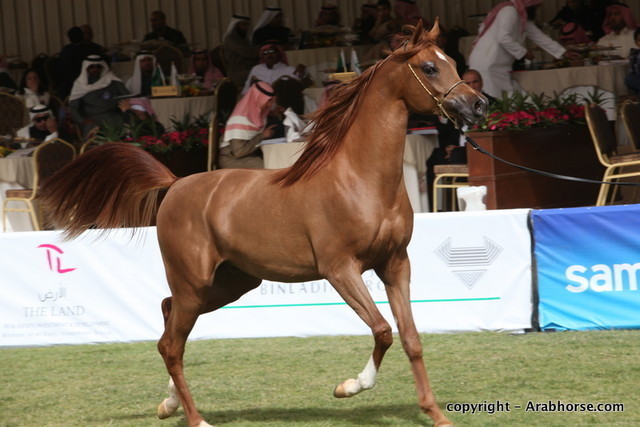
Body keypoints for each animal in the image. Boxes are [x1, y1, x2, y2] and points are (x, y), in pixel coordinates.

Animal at [41, 20, 487, 427]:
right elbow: (382, 330)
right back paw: (196, 418)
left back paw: (168, 404)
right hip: (195, 283)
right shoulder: (340, 269)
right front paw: (347, 387)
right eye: (429, 67)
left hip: (229, 283)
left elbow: (410, 337)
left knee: (169, 320)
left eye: (452, 61)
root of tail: (175, 184)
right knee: (170, 345)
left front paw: (435, 414)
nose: (478, 105)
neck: (360, 180)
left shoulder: (395, 264)